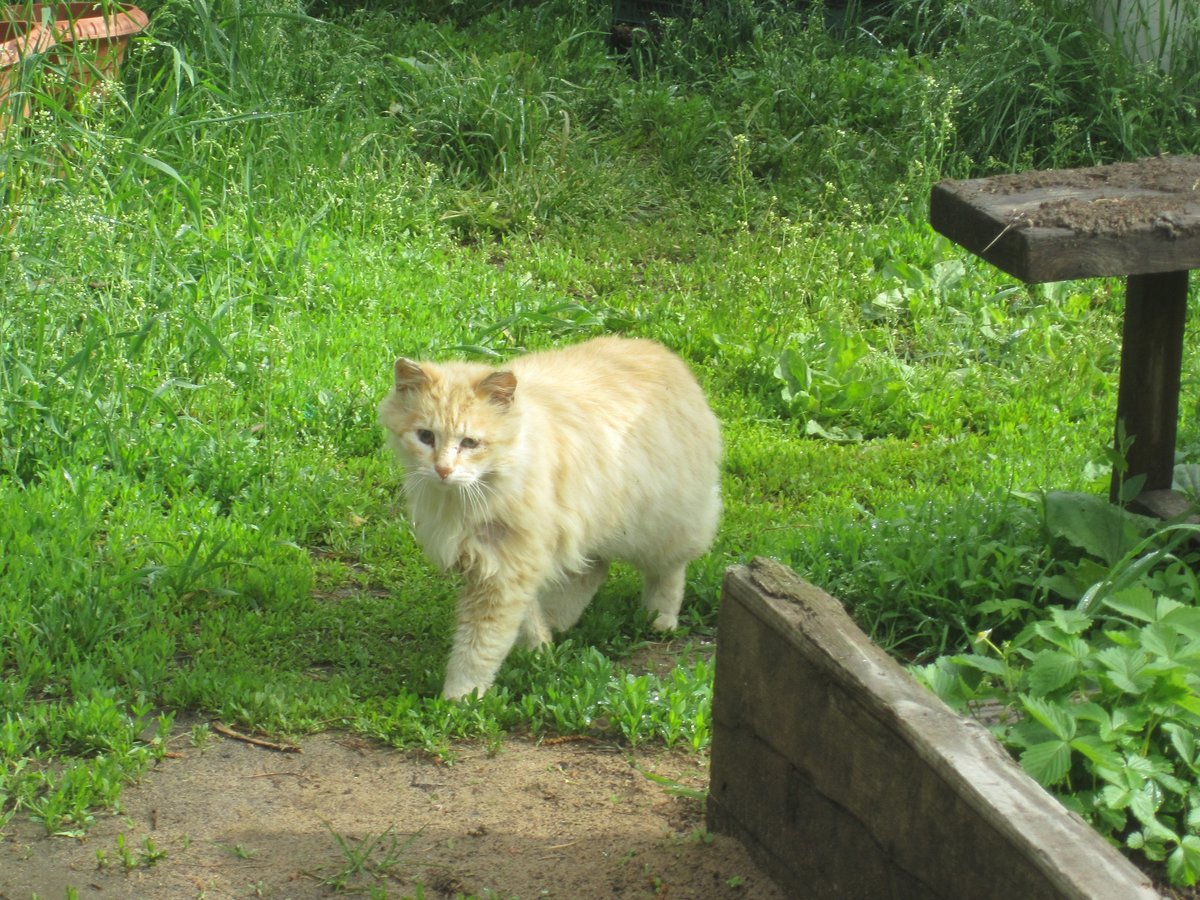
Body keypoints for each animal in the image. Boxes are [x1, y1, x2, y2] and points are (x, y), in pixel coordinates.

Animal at [374, 336, 720, 700]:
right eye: (425, 436)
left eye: (470, 443)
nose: (443, 470)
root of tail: (659, 351)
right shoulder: (508, 563)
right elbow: (524, 619)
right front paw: (539, 649)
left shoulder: (505, 570)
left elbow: (478, 648)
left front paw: (459, 699)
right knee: (593, 570)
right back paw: (560, 625)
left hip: (661, 525)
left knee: (668, 571)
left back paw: (659, 619)